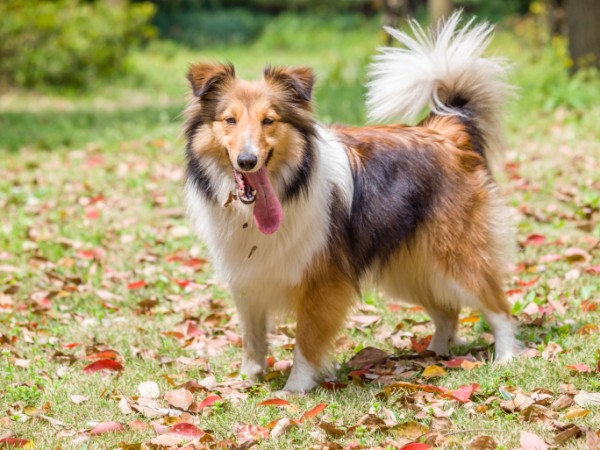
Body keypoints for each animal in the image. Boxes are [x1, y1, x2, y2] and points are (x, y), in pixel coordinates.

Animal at [183, 13, 520, 394]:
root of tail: (446, 128)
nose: (247, 161)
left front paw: (294, 389)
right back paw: (433, 356)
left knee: (498, 307)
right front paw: (245, 380)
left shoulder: (322, 283)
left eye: (269, 120)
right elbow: (252, 339)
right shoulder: (248, 280)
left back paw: (505, 356)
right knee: (448, 311)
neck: (287, 188)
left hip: (457, 255)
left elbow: (306, 341)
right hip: (409, 269)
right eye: (230, 120)